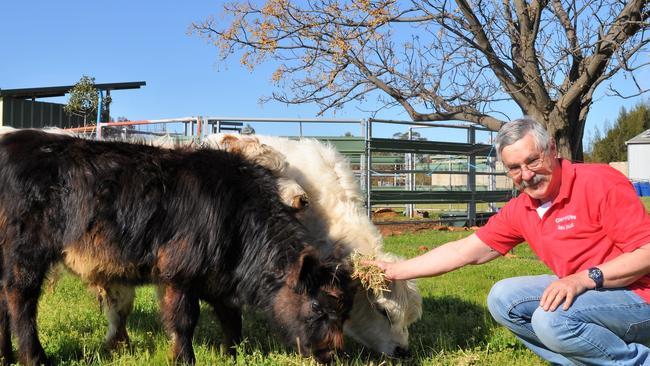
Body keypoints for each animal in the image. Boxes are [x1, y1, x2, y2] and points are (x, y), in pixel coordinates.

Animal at [0, 131, 352, 366]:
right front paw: (185, 358)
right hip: (25, 253)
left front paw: (231, 354)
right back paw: (34, 357)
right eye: (318, 307)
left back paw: (5, 354)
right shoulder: (180, 272)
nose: (331, 354)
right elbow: (184, 321)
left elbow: (231, 317)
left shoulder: (217, 278)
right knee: (20, 298)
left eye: (344, 313)